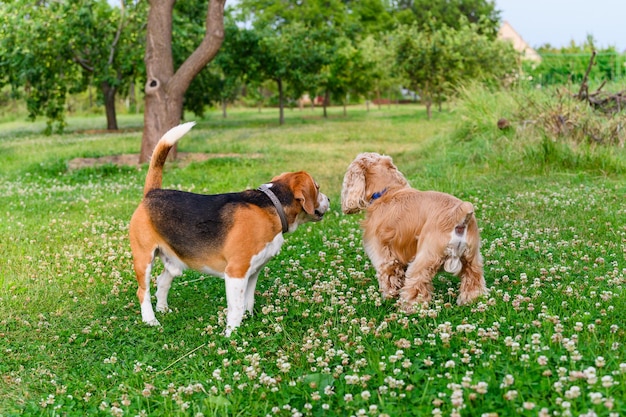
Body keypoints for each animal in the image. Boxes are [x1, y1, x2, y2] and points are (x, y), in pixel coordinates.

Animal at [129, 122, 330, 334]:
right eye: (317, 188)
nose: (329, 199)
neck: (272, 205)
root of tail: (152, 192)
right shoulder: (236, 272)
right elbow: (237, 307)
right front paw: (231, 333)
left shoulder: (252, 273)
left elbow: (248, 302)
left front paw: (248, 322)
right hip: (144, 259)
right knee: (143, 292)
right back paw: (151, 320)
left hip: (174, 261)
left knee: (162, 282)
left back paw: (163, 310)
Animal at [338, 152, 486, 308]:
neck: (387, 192)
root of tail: (459, 214)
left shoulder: (383, 257)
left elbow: (388, 280)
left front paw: (388, 298)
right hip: (472, 259)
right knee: (473, 279)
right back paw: (470, 300)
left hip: (424, 259)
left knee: (417, 285)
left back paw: (409, 306)